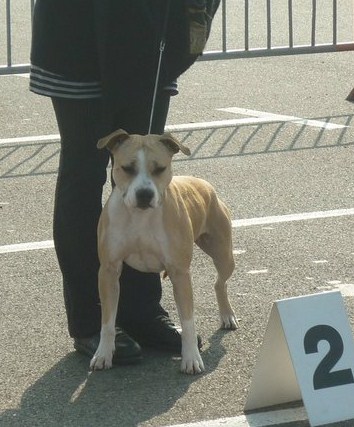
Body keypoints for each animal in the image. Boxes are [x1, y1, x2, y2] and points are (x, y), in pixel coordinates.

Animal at [89, 130, 238, 374]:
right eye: (127, 168)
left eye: (160, 169)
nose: (144, 194)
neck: (140, 217)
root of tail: (204, 184)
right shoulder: (108, 271)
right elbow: (107, 321)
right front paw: (103, 353)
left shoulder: (180, 273)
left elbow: (188, 322)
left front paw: (191, 358)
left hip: (224, 255)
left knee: (220, 283)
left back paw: (227, 315)